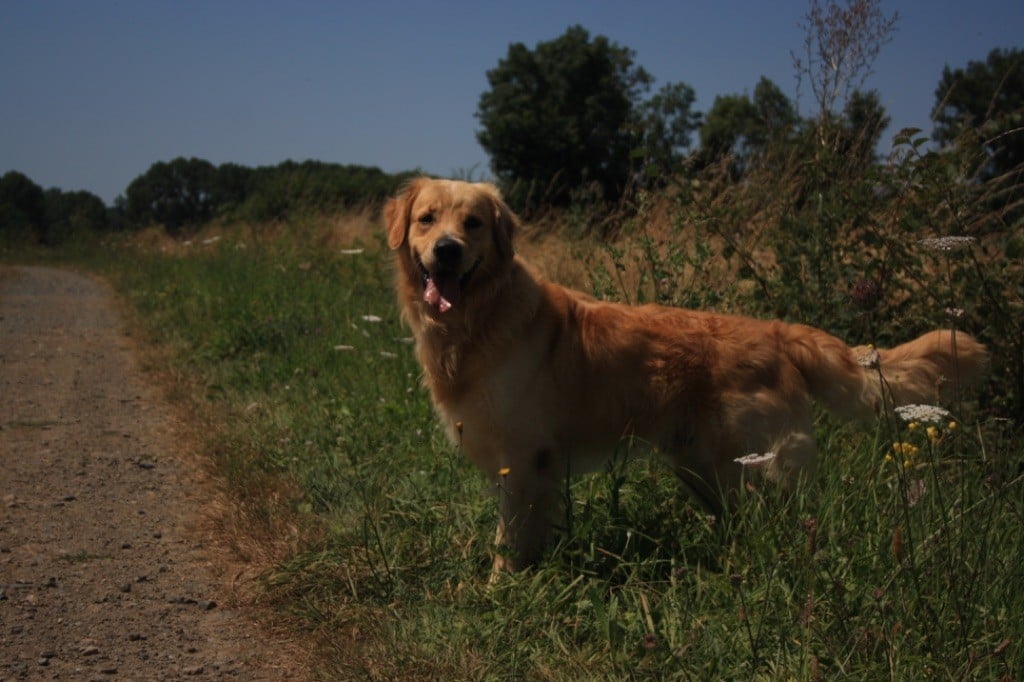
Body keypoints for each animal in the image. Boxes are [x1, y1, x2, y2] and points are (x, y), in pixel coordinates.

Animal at [382, 176, 983, 573]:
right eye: (427, 219)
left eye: (473, 223)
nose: (447, 250)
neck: (477, 321)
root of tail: (777, 330)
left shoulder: (527, 460)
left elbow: (510, 539)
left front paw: (501, 589)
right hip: (704, 469)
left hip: (755, 468)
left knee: (792, 524)